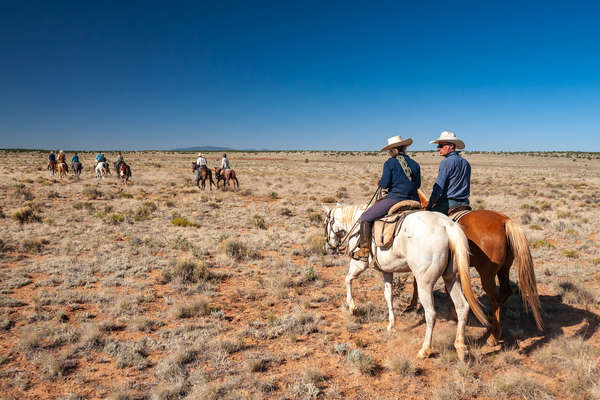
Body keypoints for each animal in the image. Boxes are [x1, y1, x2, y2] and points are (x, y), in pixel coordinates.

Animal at [324, 205, 488, 360]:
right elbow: (389, 296)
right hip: (452, 278)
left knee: (431, 314)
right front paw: (391, 325)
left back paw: (425, 350)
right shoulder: (387, 271)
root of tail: (447, 226)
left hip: (424, 284)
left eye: (326, 222)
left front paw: (353, 308)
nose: (328, 248)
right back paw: (460, 347)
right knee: (462, 307)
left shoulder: (360, 264)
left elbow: (347, 279)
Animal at [418, 189, 544, 346]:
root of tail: (504, 221)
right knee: (505, 291)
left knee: (494, 298)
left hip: (486, 274)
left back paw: (494, 336)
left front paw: (453, 317)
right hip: (504, 269)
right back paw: (490, 318)